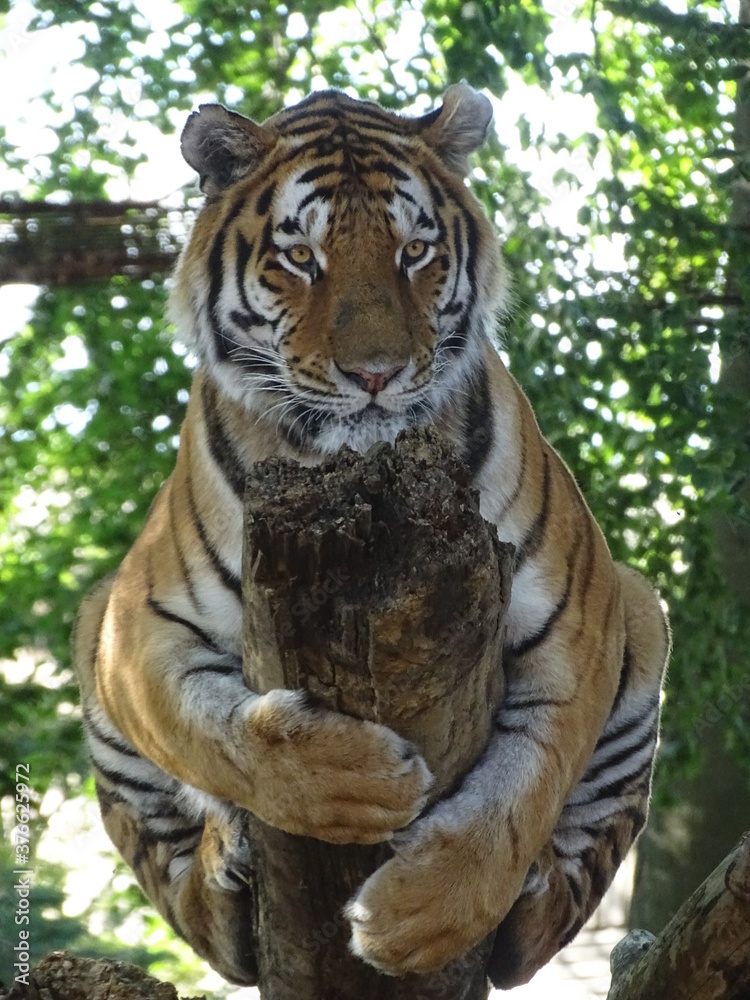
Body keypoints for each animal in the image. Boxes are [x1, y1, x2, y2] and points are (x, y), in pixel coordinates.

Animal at [73, 83, 670, 988]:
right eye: (300, 258)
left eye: (415, 251)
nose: (377, 375)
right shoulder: (135, 626)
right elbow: (214, 736)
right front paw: (350, 781)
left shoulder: (584, 618)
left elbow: (527, 784)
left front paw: (422, 915)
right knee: (206, 921)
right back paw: (223, 865)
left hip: (643, 614)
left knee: (540, 925)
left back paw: (531, 891)